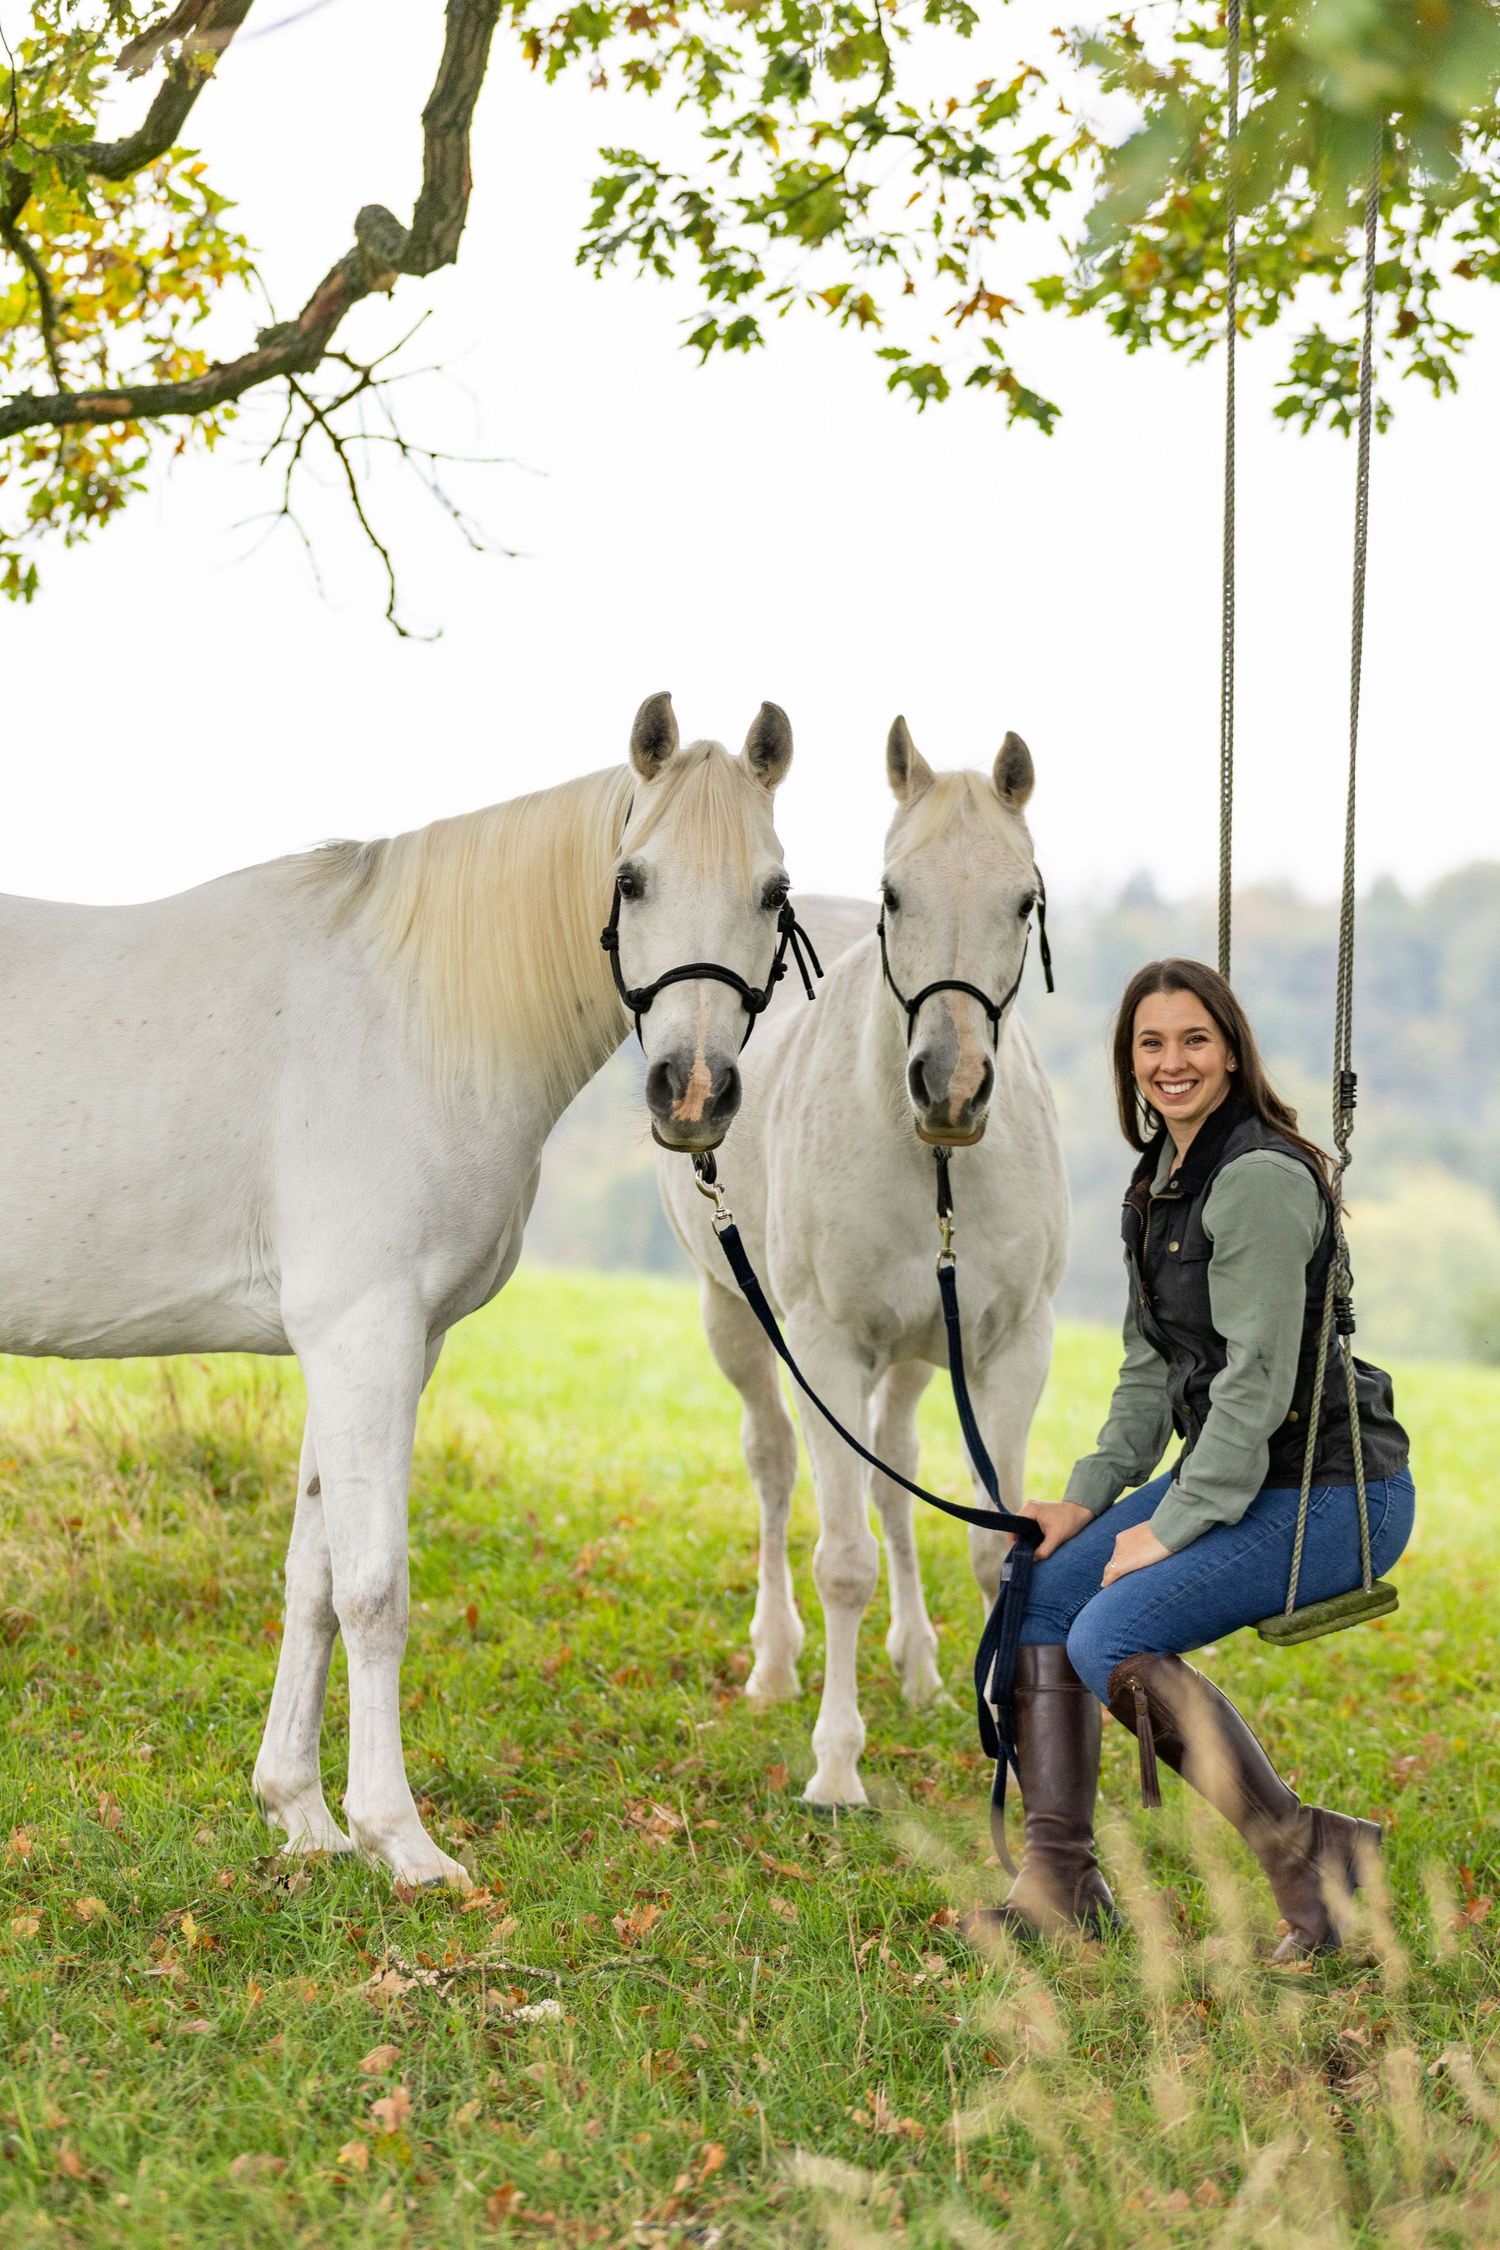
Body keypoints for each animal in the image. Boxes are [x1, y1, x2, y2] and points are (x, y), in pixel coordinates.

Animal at [0, 693, 795, 1884]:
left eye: (774, 891)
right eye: (633, 879)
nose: (692, 1093)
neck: (416, 1015)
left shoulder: (388, 1345)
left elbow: (314, 1576)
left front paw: (303, 1818)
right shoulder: (363, 1335)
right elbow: (374, 1588)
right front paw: (401, 1840)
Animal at [658, 719, 1067, 1807]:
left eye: (1024, 900)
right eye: (894, 896)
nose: (952, 1087)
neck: (934, 1166)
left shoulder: (1008, 1353)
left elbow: (989, 1547)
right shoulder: (828, 1351)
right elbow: (841, 1557)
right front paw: (837, 1766)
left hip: (921, 1359)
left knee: (896, 1477)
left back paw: (919, 1667)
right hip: (736, 1318)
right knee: (773, 1462)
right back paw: (774, 1664)